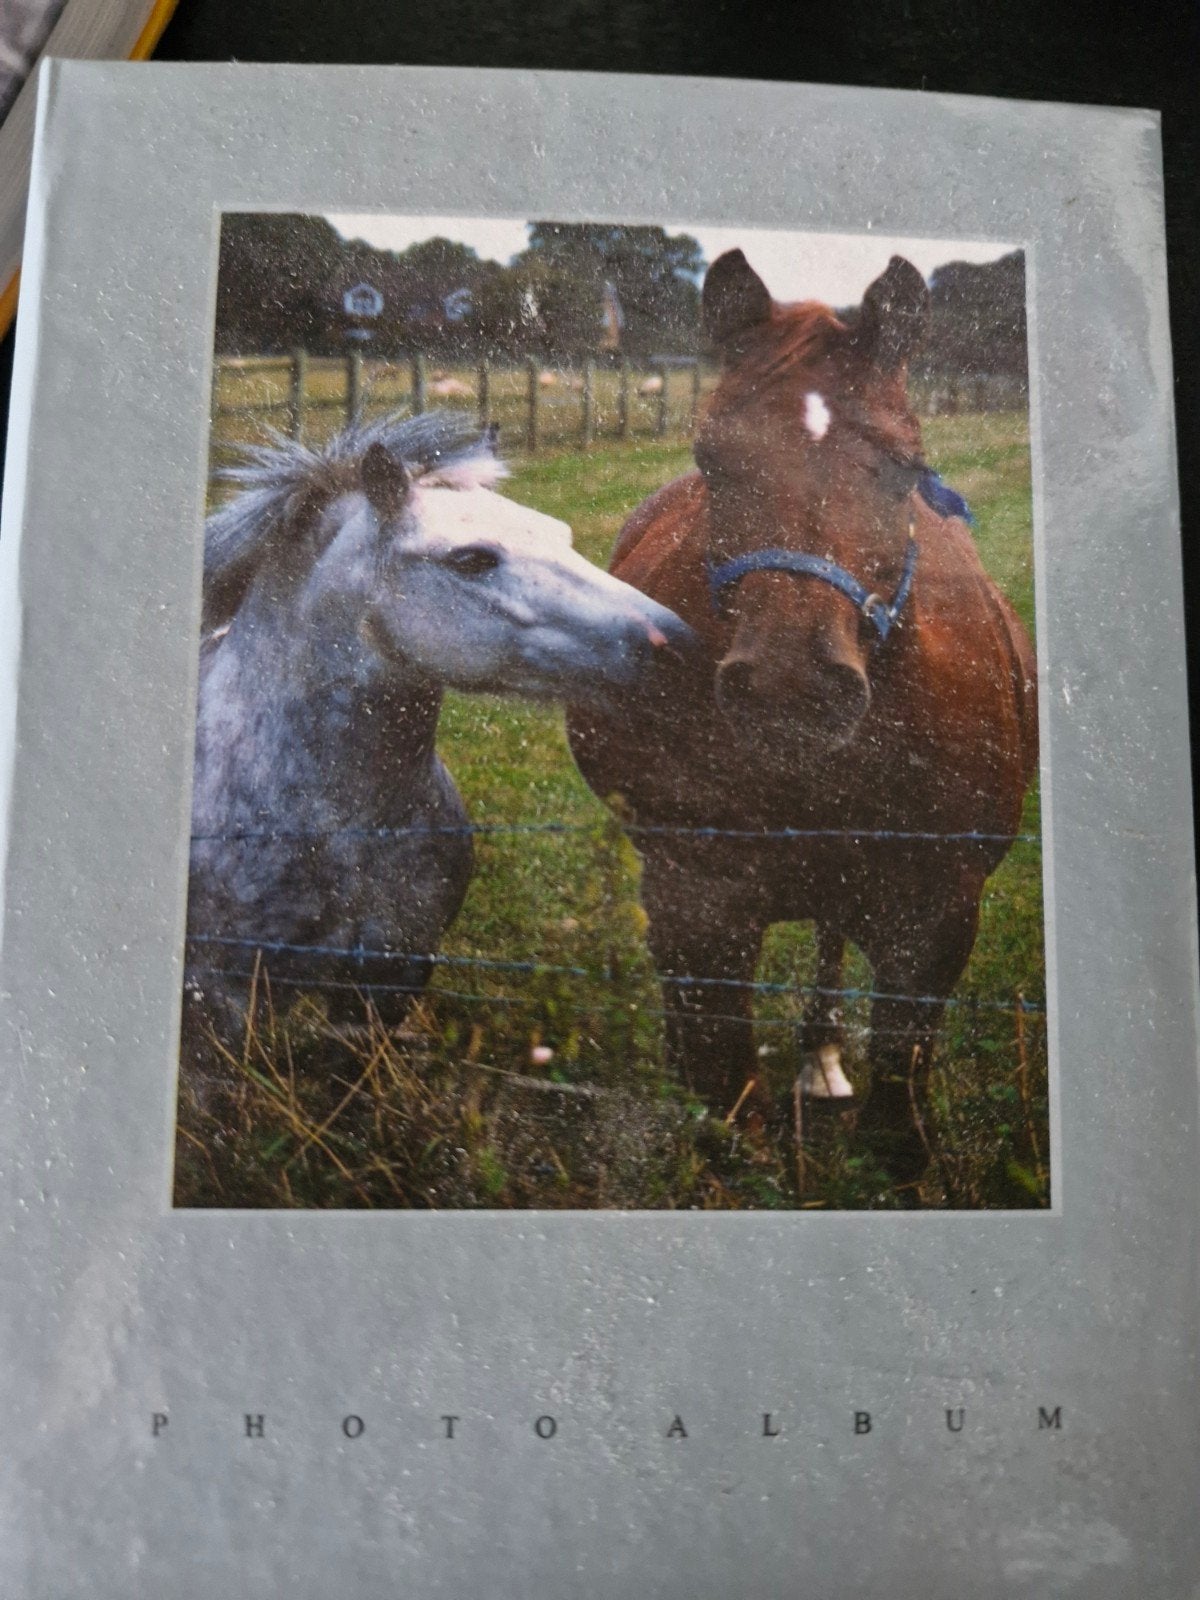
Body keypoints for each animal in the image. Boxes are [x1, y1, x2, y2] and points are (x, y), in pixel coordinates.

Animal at [567, 251, 1038, 1191]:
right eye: (712, 458)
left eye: (903, 464)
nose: (791, 689)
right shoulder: (695, 895)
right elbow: (721, 1089)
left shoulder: (938, 912)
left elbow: (899, 1105)